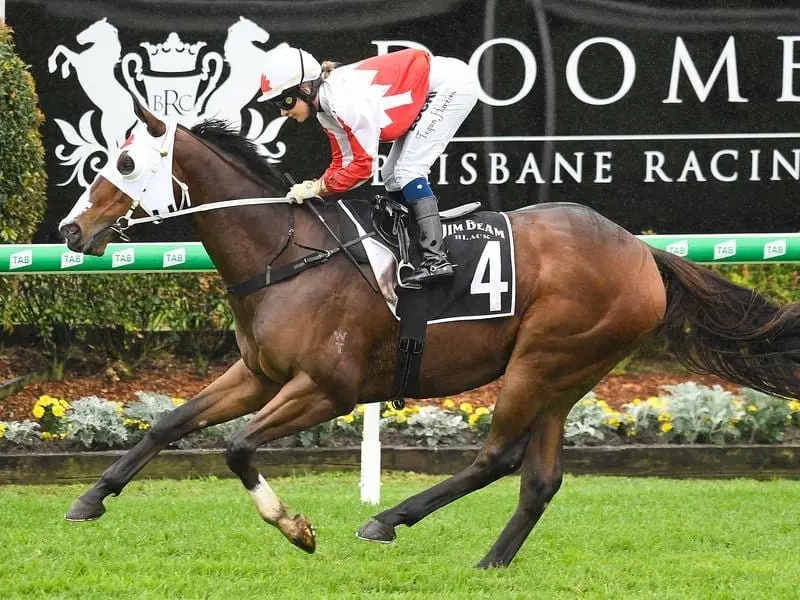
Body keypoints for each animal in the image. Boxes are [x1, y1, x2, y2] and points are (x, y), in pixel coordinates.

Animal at [57, 103, 800, 568]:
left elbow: (237, 448)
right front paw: (90, 498)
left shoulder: (327, 389)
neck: (285, 253)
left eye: (126, 164)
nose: (70, 229)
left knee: (497, 458)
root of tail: (643, 251)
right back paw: (491, 562)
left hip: (543, 359)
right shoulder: (259, 375)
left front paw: (297, 529)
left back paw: (387, 520)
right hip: (568, 374)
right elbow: (169, 423)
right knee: (540, 478)